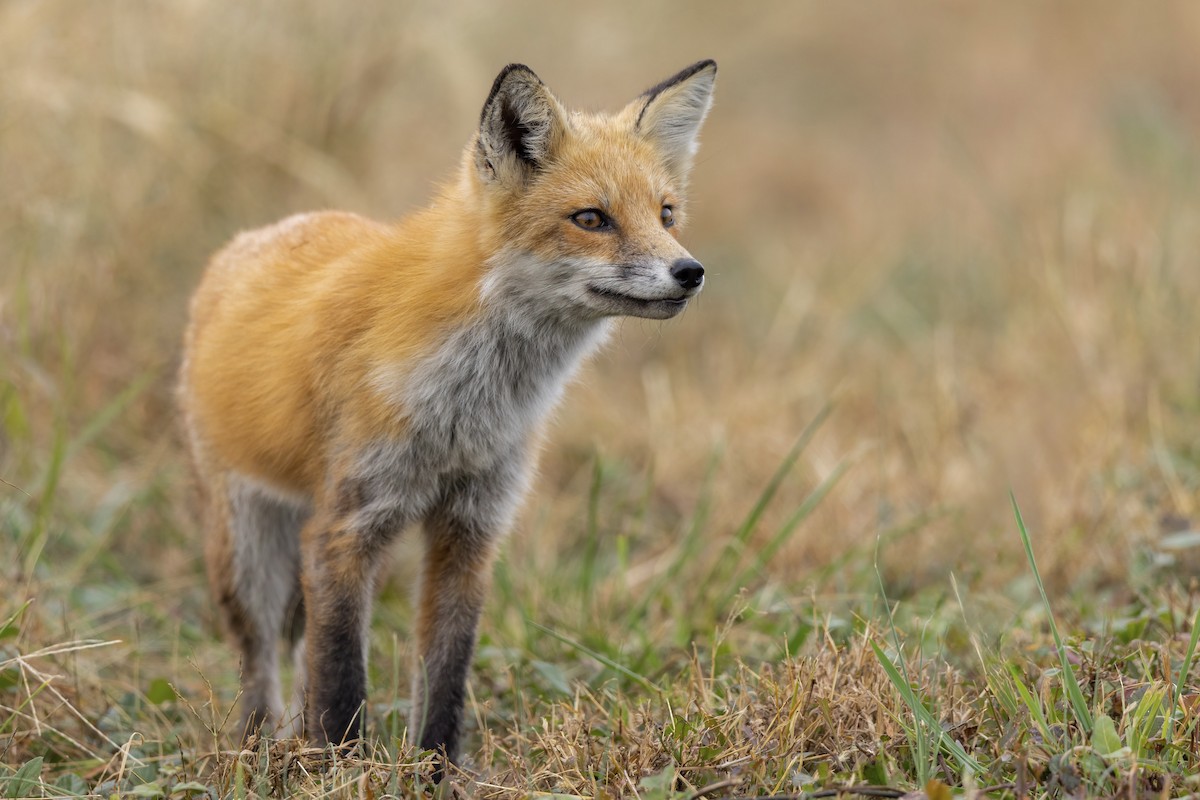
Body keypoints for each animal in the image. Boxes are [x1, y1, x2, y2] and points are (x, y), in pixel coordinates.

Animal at [177, 59, 717, 769]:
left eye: (666, 213)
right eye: (592, 218)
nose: (690, 271)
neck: (470, 408)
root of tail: (254, 236)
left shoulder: (471, 526)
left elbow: (445, 675)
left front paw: (435, 773)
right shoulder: (346, 527)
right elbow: (342, 682)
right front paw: (343, 771)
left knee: (296, 652)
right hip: (246, 547)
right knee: (263, 659)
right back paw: (257, 751)